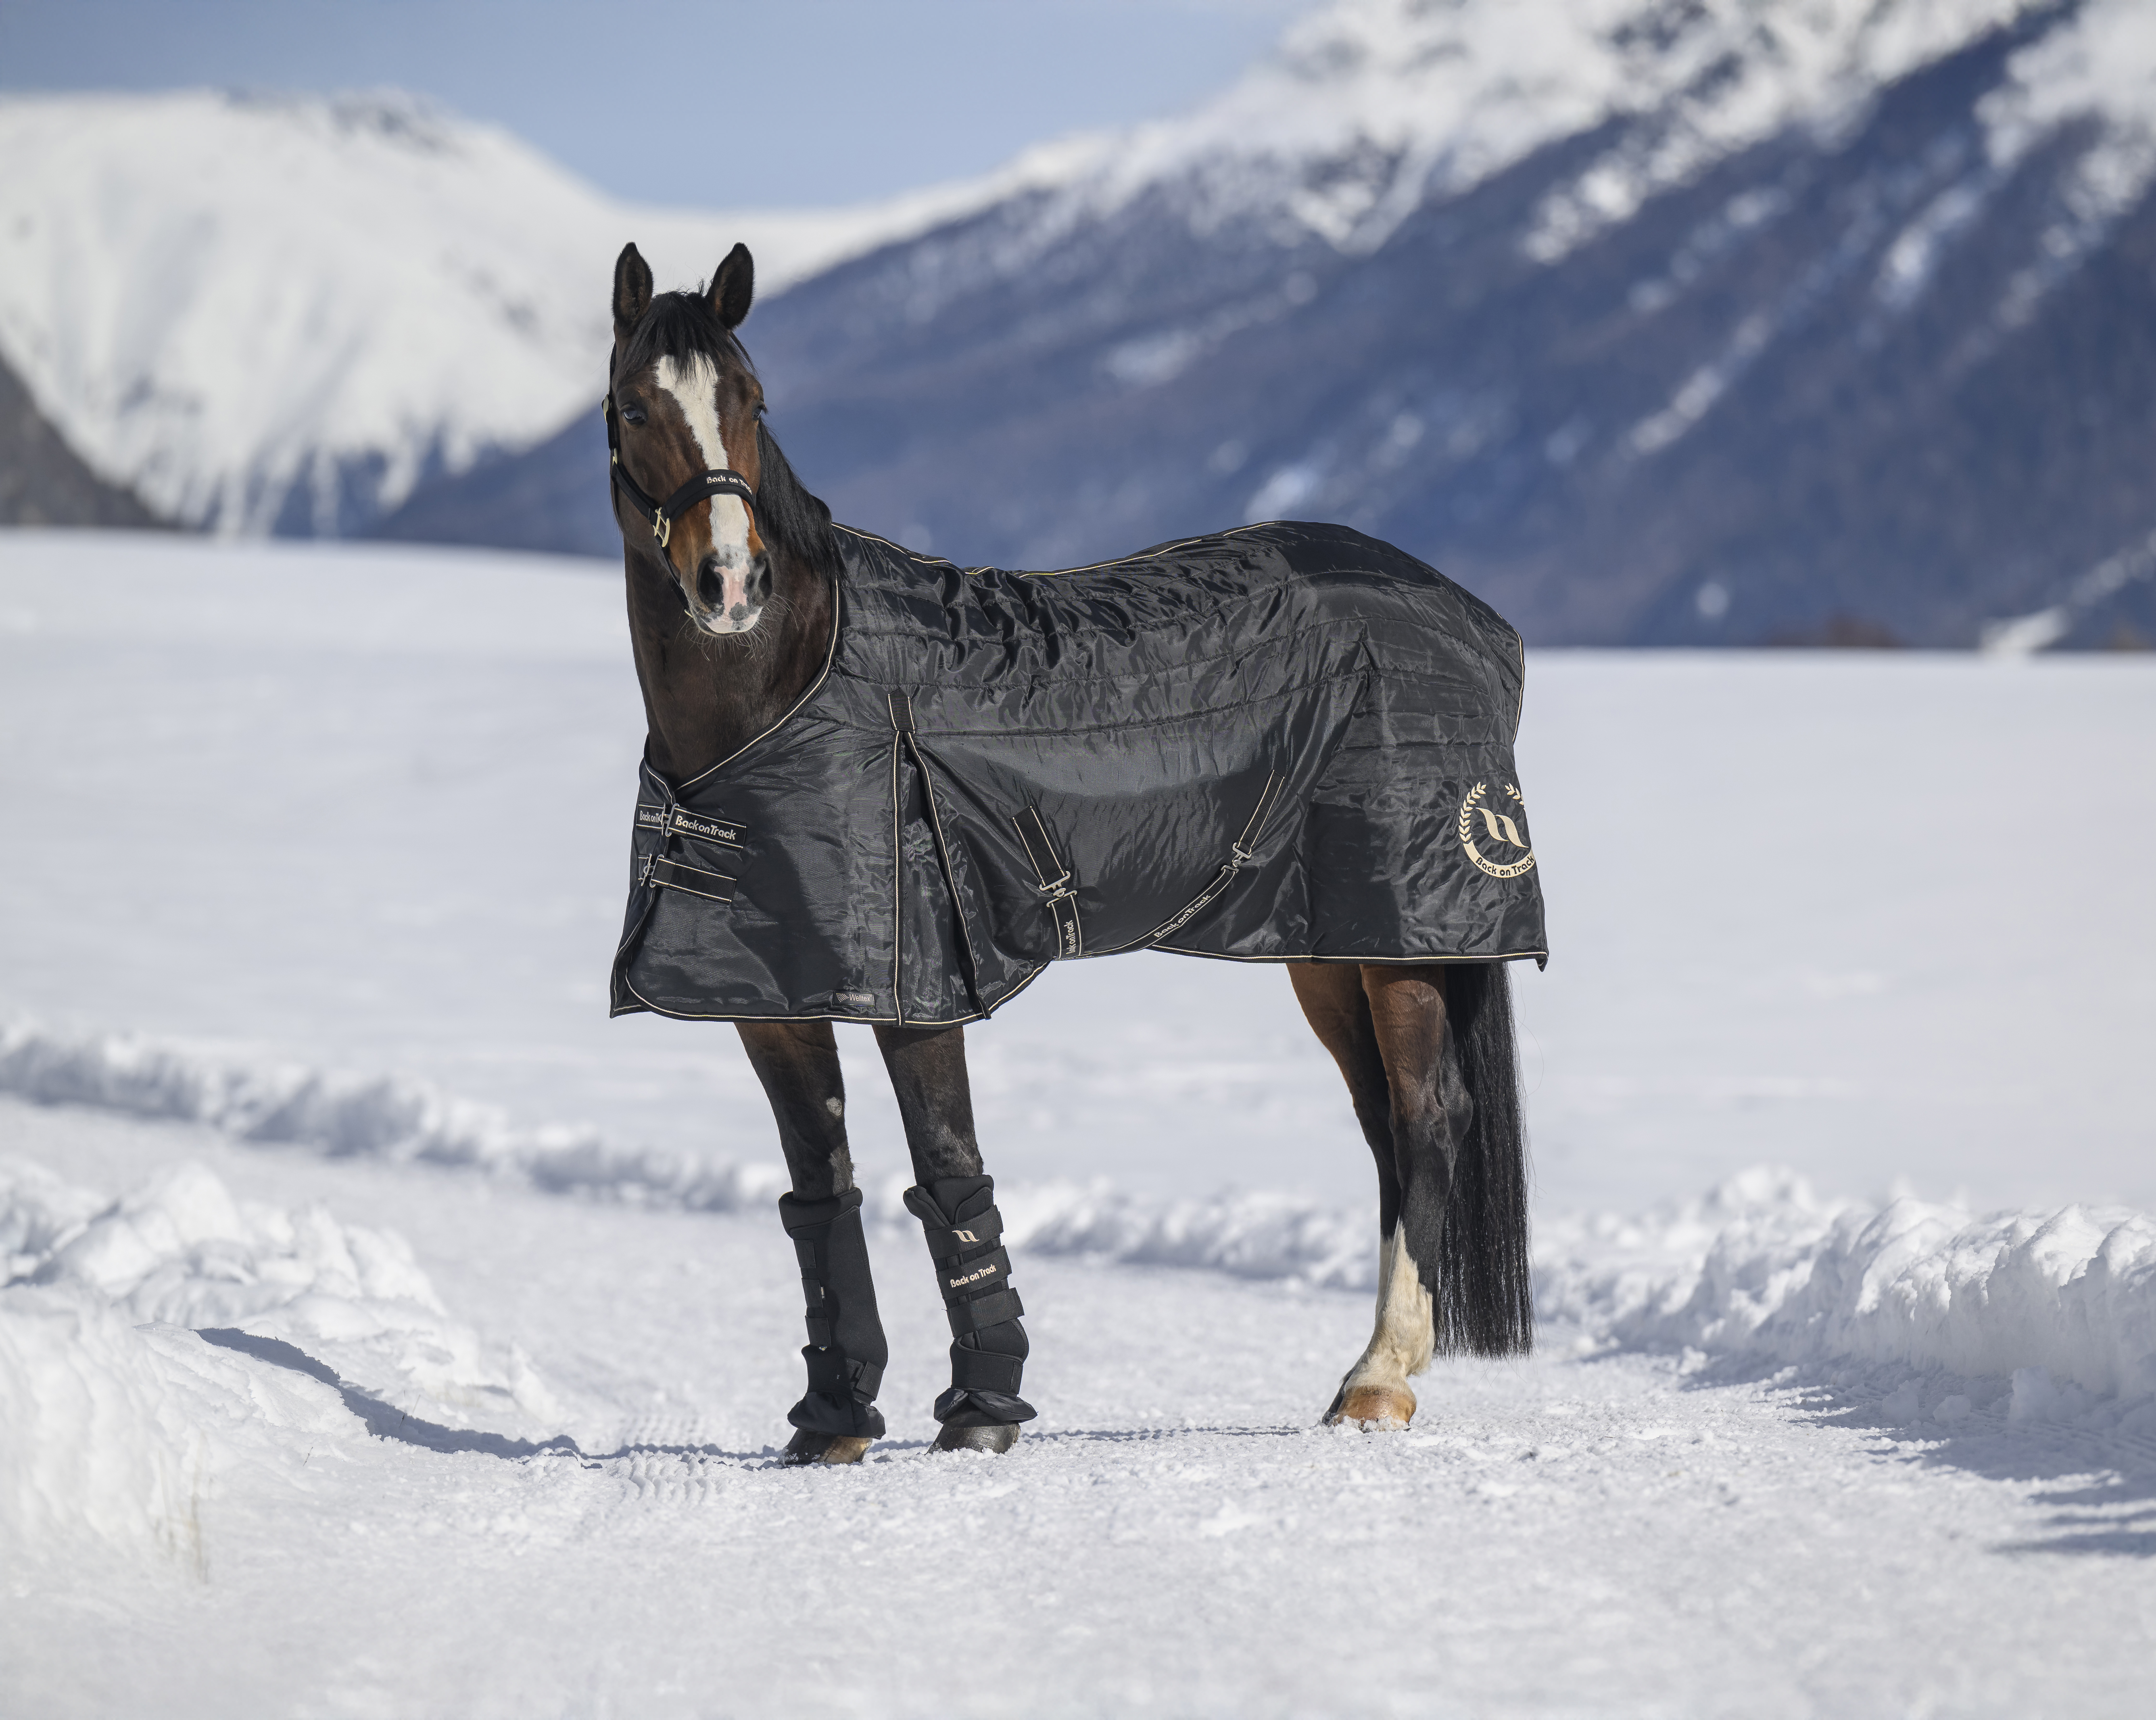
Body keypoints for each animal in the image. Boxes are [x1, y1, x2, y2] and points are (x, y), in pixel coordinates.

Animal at [603, 240, 1540, 1464]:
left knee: (1428, 1119)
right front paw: (832, 1418)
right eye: (634, 406)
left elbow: (947, 1169)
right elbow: (820, 1189)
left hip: (1405, 939)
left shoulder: (920, 984)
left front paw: (982, 1409)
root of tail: (1470, 616)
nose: (728, 582)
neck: (790, 685)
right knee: (1384, 1124)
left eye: (753, 403)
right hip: (1330, 944)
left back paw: (1378, 1379)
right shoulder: (773, 992)